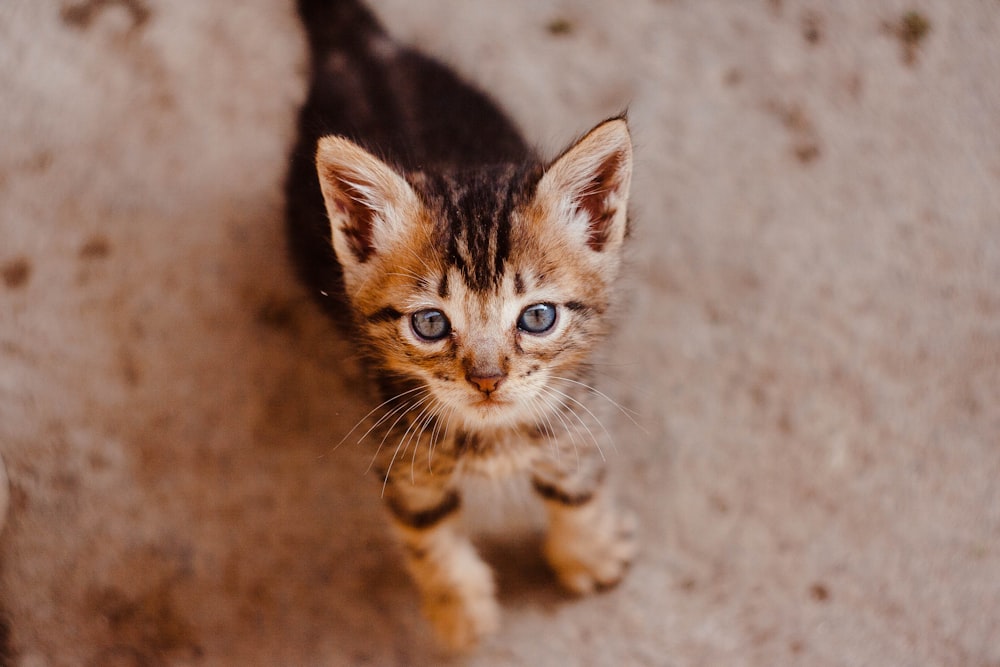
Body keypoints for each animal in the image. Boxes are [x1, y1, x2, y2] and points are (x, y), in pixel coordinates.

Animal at [286, 0, 636, 648]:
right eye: (430, 324)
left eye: (538, 317)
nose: (488, 379)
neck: (492, 437)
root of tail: (361, 47)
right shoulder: (398, 440)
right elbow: (425, 529)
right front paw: (460, 612)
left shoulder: (572, 400)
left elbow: (575, 479)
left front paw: (588, 550)